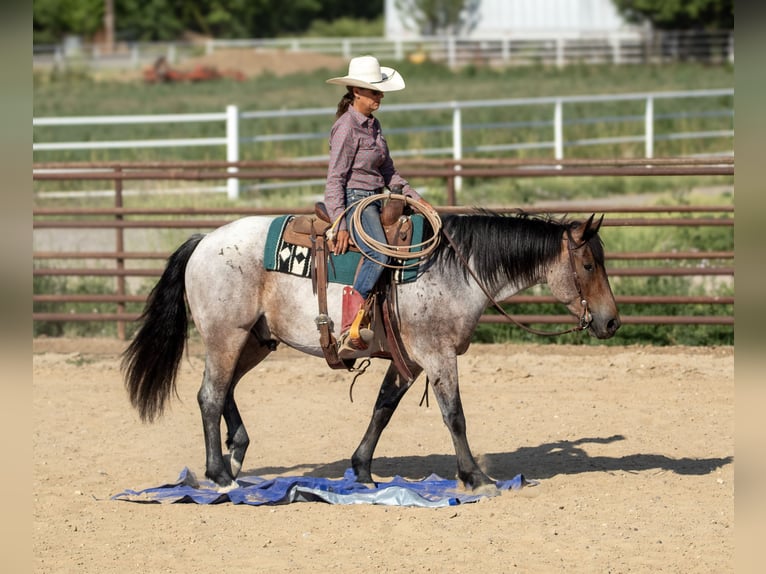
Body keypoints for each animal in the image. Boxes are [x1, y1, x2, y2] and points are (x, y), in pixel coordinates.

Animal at [121, 212, 624, 496]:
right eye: (587, 264)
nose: (611, 321)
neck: (454, 268)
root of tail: (204, 241)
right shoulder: (438, 355)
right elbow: (455, 416)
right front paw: (475, 477)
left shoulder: (411, 360)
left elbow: (382, 409)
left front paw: (362, 470)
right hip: (228, 335)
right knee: (210, 395)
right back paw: (220, 474)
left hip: (255, 341)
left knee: (221, 390)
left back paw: (237, 455)